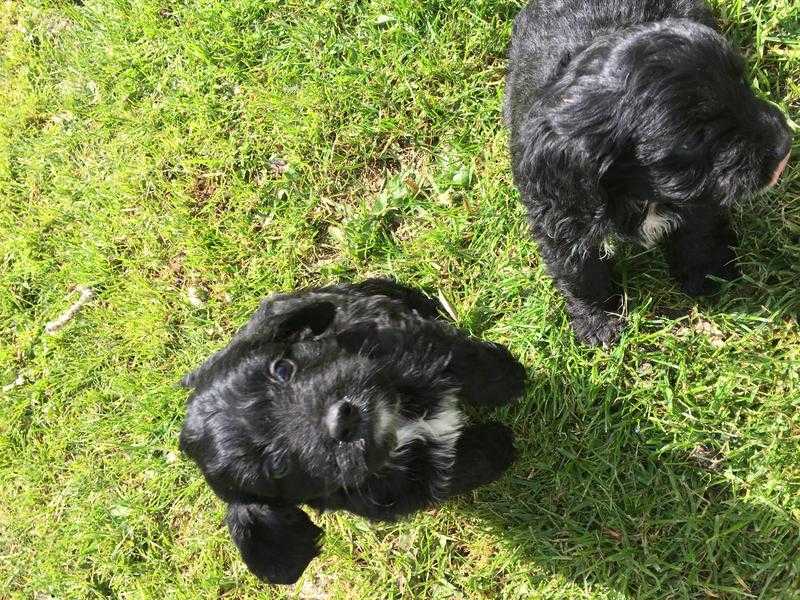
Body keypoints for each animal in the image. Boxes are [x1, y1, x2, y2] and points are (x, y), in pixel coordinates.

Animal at [180, 278, 524, 584]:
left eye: (282, 369)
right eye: (278, 466)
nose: (342, 419)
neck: (398, 421)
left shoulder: (406, 339)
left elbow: (462, 359)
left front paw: (509, 376)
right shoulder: (400, 490)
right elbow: (450, 469)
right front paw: (497, 444)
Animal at [506, 0, 792, 346]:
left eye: (744, 87)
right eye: (696, 138)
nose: (784, 145)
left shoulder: (699, 197)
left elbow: (699, 231)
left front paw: (706, 274)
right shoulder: (560, 211)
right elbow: (580, 270)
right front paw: (597, 320)